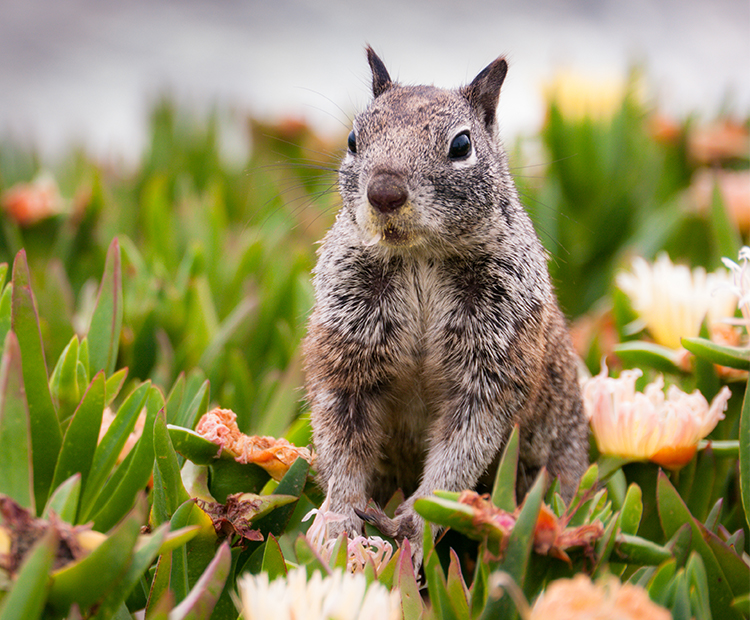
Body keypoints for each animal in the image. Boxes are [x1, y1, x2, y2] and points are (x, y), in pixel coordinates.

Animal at [302, 47, 592, 560]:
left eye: (461, 146)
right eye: (354, 139)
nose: (385, 192)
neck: (420, 258)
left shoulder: (494, 363)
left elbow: (462, 451)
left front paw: (415, 525)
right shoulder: (345, 349)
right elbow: (341, 440)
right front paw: (337, 524)